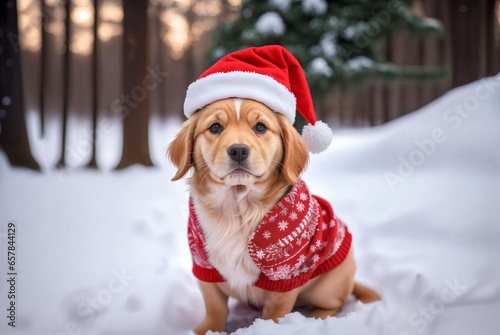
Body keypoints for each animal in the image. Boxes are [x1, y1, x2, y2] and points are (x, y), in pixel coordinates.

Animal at [168, 98, 378, 335]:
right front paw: (208, 329)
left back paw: (314, 318)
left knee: (335, 304)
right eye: (215, 127)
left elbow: (274, 313)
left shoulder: (285, 277)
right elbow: (215, 308)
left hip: (326, 287)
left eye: (260, 127)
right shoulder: (204, 268)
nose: (238, 150)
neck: (238, 211)